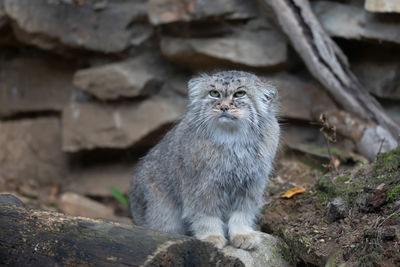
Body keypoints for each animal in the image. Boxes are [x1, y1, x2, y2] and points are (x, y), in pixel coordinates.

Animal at [130, 70, 280, 250]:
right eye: (214, 93)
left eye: (240, 94)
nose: (224, 107)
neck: (232, 140)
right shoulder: (201, 185)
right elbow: (205, 214)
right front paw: (211, 236)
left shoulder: (251, 184)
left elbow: (242, 212)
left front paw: (242, 234)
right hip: (163, 212)